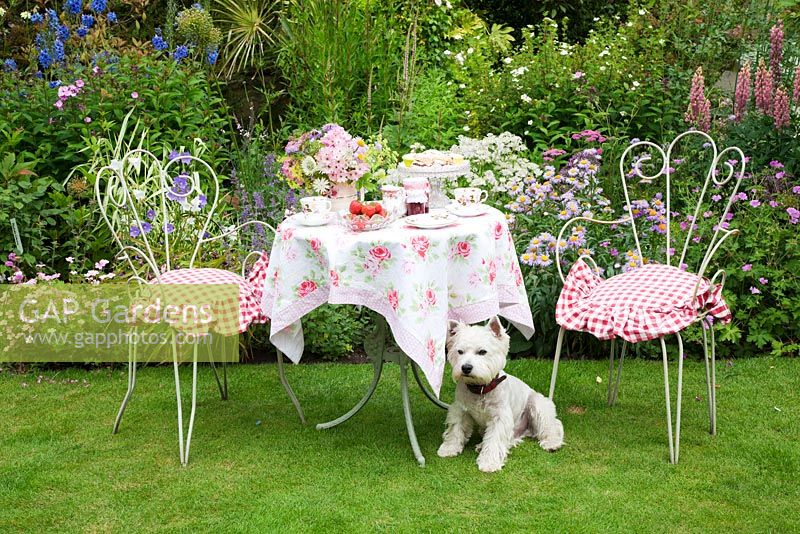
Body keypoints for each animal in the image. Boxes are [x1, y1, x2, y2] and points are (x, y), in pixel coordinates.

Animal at [438, 318, 564, 474]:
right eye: (460, 351)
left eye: (482, 352)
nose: (466, 368)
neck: (480, 388)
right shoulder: (460, 410)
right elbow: (455, 430)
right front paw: (449, 448)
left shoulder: (499, 417)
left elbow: (495, 440)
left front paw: (488, 463)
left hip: (537, 405)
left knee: (552, 425)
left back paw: (552, 443)